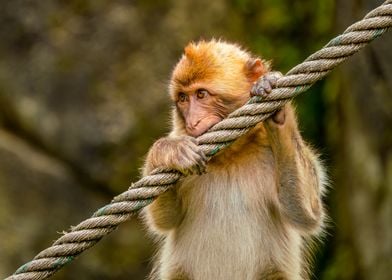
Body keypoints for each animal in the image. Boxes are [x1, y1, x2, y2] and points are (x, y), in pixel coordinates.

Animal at [142, 40, 326, 280]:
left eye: (201, 94)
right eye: (183, 98)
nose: (192, 122)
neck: (230, 156)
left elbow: (305, 214)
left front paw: (278, 110)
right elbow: (166, 219)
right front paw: (170, 151)